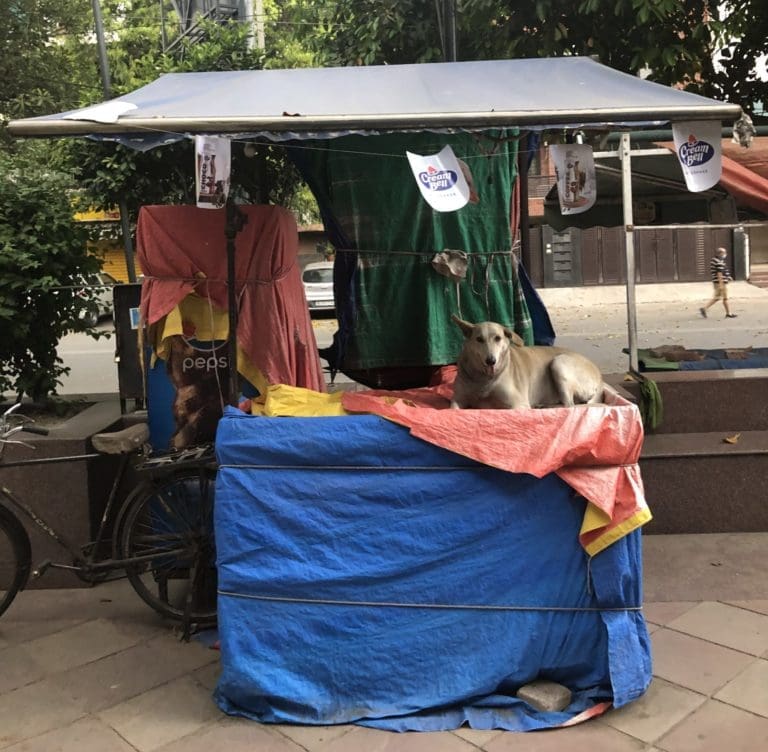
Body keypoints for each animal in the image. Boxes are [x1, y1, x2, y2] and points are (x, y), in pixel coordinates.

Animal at [450, 318, 608, 412]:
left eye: (498, 338)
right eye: (479, 339)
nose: (491, 360)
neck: (483, 378)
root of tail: (600, 378)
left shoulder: (518, 404)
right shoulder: (457, 400)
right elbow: (453, 409)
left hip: (559, 363)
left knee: (569, 406)